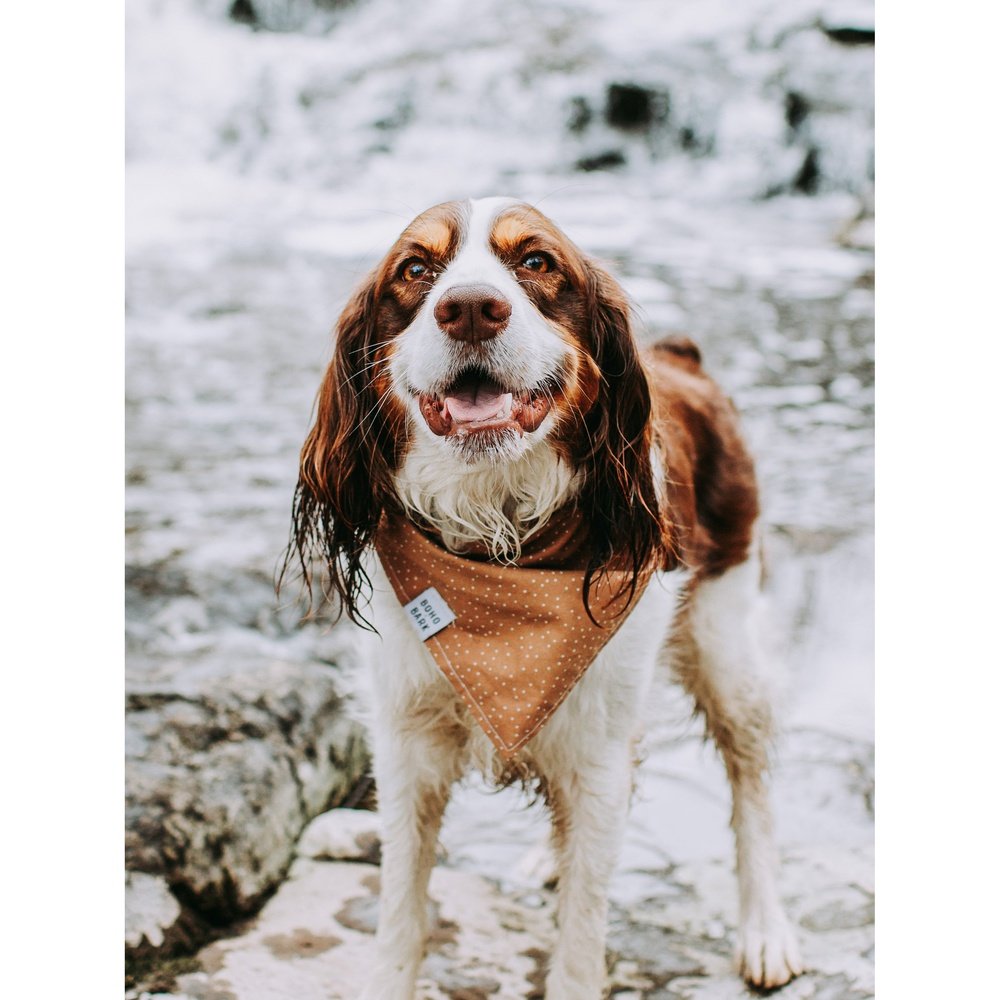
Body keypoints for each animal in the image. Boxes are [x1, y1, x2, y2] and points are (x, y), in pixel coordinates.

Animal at [286, 197, 800, 1000]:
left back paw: (765, 928)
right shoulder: (406, 743)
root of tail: (682, 357)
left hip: (726, 642)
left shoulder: (596, 749)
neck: (499, 536)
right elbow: (400, 913)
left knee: (750, 778)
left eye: (535, 261)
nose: (470, 308)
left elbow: (583, 933)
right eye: (416, 269)